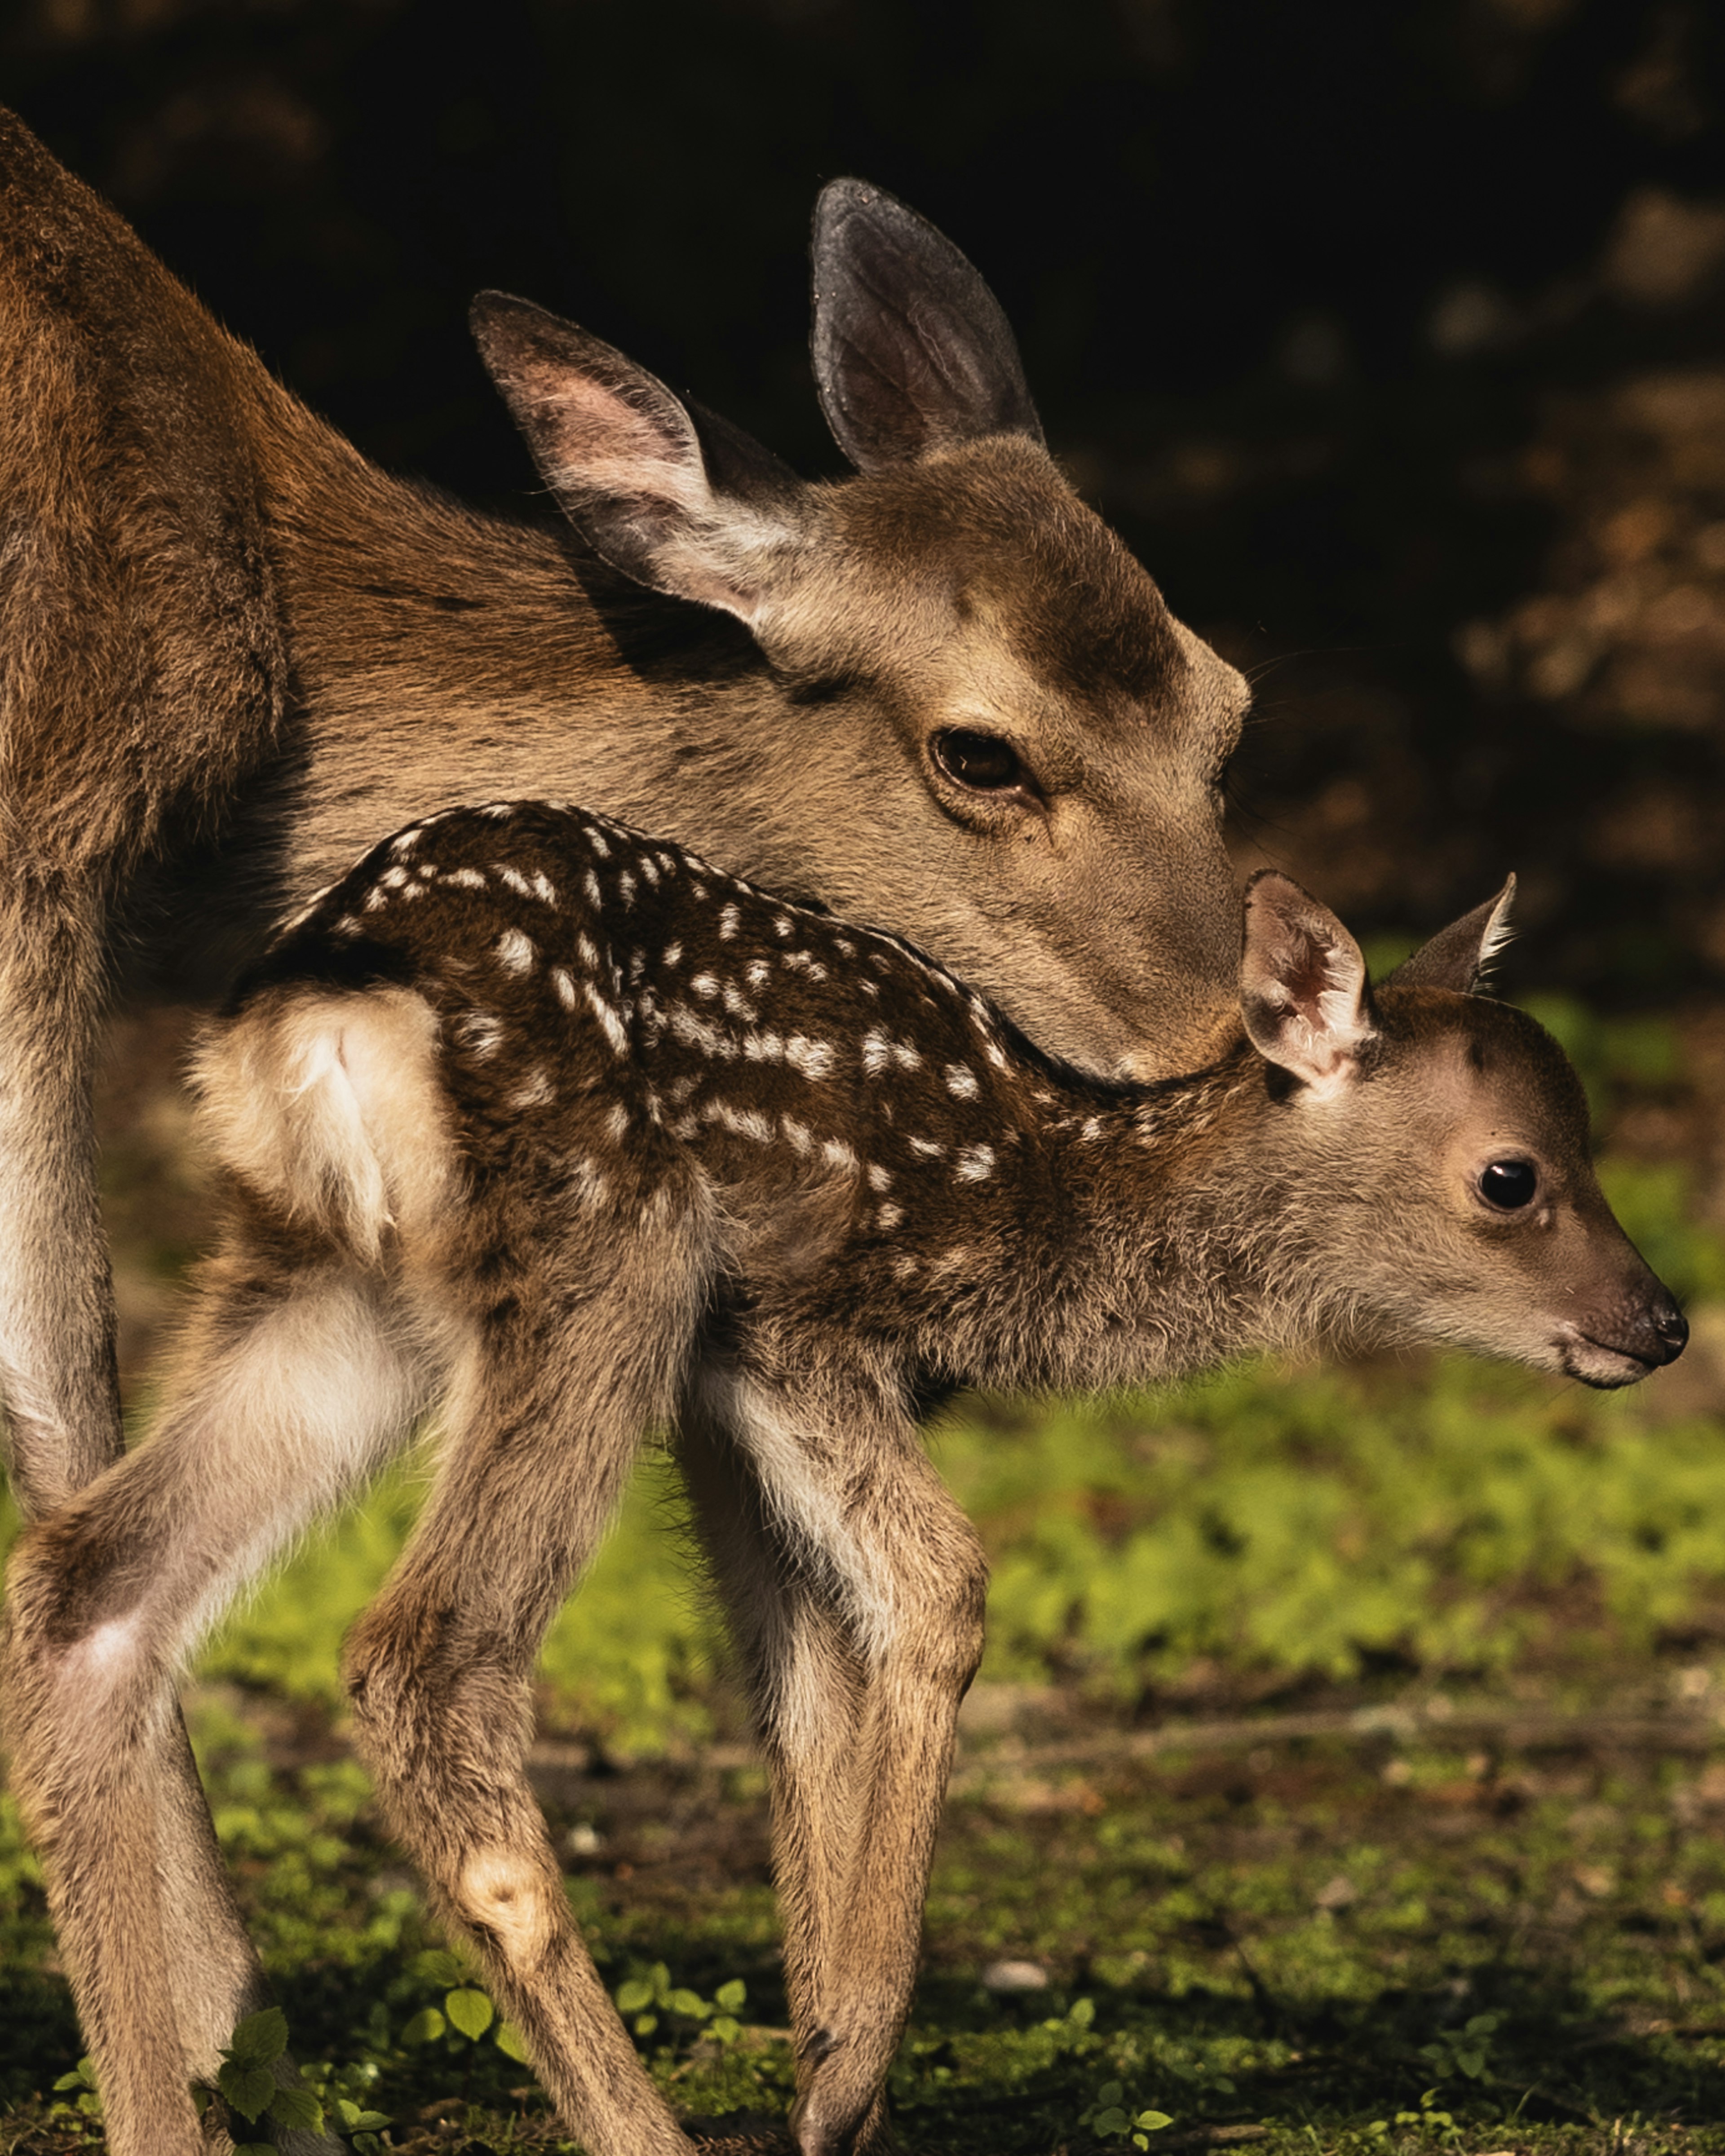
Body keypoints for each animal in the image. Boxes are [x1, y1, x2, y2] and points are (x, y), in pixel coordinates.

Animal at [0, 109, 1251, 2130]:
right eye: (980, 752)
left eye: (1227, 704)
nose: (1231, 1027)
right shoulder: (42, 826)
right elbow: (58, 1387)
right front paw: (216, 2042)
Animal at [3, 802, 1682, 2156]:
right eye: (1511, 1177)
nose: (1662, 1321)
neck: (1033, 1198)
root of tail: (331, 998)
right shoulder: (791, 1318)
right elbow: (942, 1585)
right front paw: (847, 2064)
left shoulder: (723, 1404)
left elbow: (802, 1682)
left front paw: (831, 2072)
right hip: (609, 1244)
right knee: (425, 1650)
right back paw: (644, 2128)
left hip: (326, 1283)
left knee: (93, 1591)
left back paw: (161, 2123)